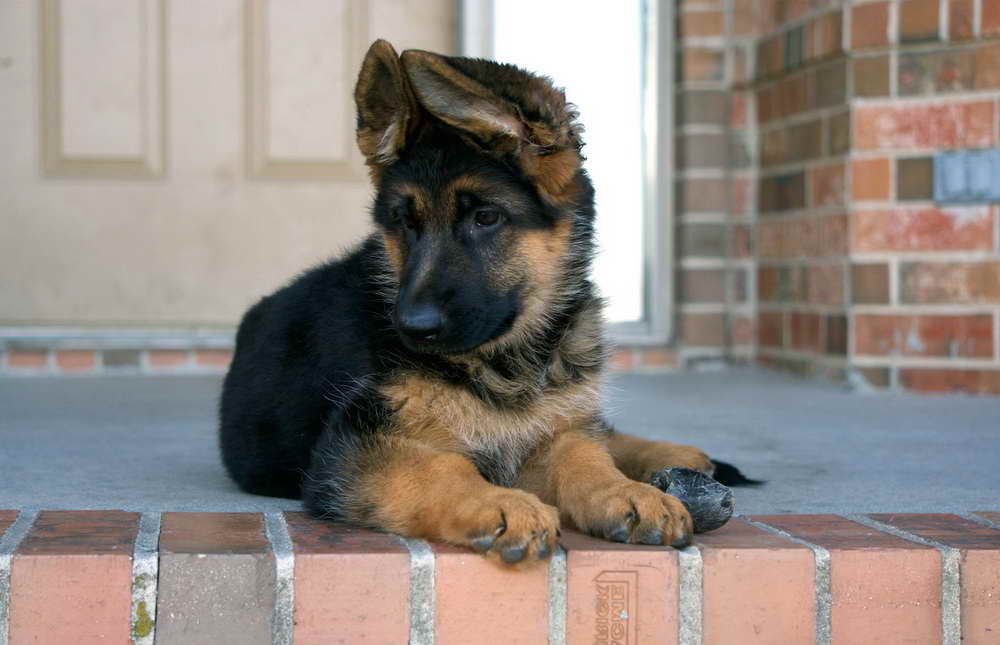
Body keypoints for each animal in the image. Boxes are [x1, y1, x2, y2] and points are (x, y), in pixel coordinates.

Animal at [219, 41, 720, 564]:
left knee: (598, 429)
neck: (508, 360)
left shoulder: (544, 432)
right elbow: (439, 468)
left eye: (486, 217)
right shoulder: (352, 450)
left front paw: (624, 491)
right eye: (405, 223)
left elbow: (583, 453)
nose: (412, 327)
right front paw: (498, 503)